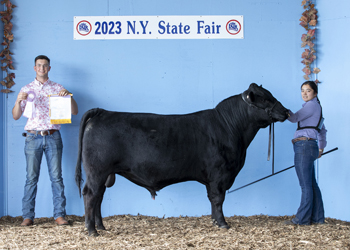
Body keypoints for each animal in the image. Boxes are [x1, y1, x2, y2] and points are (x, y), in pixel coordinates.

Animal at [75, 83, 288, 235]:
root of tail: (102, 112)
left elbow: (212, 199)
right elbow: (218, 199)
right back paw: (92, 230)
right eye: (265, 99)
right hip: (97, 170)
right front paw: (222, 224)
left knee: (99, 196)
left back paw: (101, 226)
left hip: (104, 173)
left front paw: (214, 222)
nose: (286, 111)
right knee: (90, 195)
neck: (231, 128)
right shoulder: (219, 174)